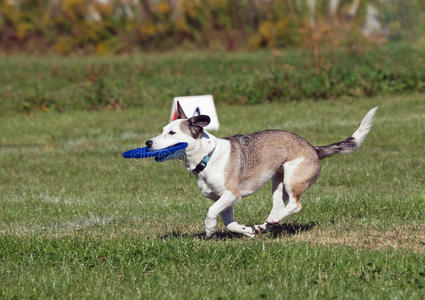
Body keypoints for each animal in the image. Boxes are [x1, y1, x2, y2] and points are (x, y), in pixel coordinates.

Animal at [146, 104, 378, 238]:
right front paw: (248, 231)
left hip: (292, 177)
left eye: (172, 132)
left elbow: (211, 212)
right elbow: (230, 224)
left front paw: (209, 229)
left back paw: (272, 221)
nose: (148, 143)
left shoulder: (231, 194)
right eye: (163, 130)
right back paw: (264, 225)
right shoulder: (224, 200)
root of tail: (314, 148)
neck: (207, 156)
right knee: (279, 206)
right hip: (278, 181)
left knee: (295, 205)